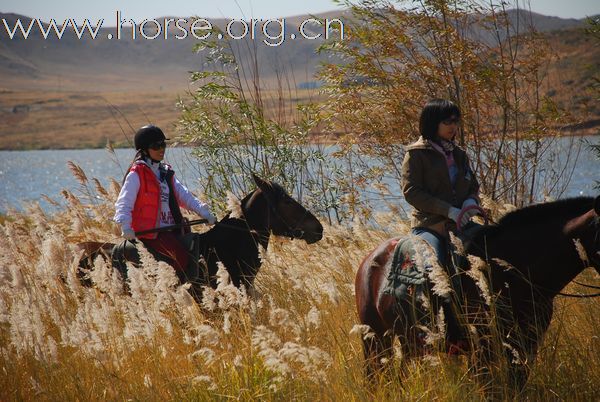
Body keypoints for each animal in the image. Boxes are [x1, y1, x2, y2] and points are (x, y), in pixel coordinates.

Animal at [356, 196, 600, 390]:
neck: (508, 271)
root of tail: (369, 259)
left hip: (408, 341)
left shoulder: (525, 346)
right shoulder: (481, 347)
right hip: (375, 340)